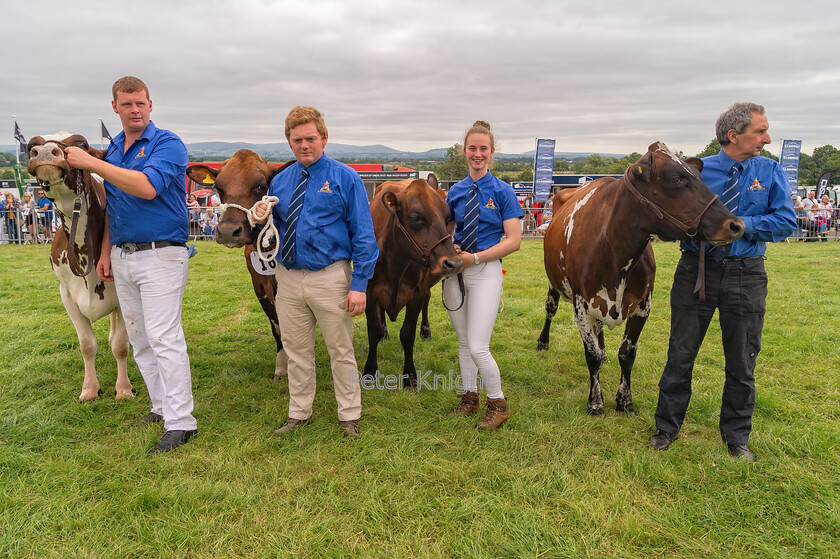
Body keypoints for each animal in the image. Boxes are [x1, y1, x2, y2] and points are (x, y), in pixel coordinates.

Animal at [26, 132, 133, 402]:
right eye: (32, 146)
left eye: (82, 144)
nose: (45, 152)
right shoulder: (66, 293)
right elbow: (86, 344)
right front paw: (90, 389)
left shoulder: (124, 294)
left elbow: (121, 346)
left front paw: (124, 388)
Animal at [187, 151, 296, 380]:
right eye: (218, 188)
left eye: (261, 186)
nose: (229, 231)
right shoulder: (259, 284)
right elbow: (277, 325)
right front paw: (282, 365)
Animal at [364, 175, 462, 390]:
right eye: (416, 218)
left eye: (447, 217)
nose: (454, 263)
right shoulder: (368, 291)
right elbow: (373, 331)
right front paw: (369, 371)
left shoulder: (417, 293)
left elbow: (407, 335)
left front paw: (410, 376)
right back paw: (386, 332)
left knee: (428, 300)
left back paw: (426, 331)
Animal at [536, 142, 744, 416]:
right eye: (676, 179)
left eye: (700, 178)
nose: (735, 225)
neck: (613, 250)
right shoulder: (581, 305)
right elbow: (591, 356)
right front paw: (595, 401)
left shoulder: (643, 306)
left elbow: (626, 355)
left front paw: (624, 400)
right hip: (554, 284)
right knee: (550, 309)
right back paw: (543, 342)